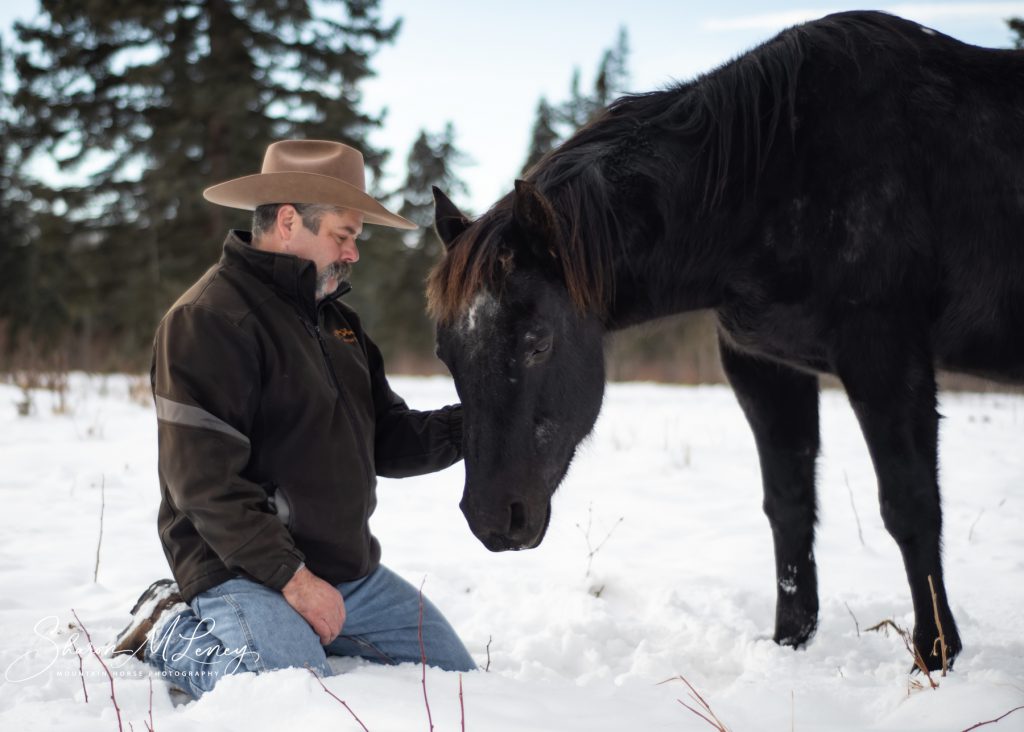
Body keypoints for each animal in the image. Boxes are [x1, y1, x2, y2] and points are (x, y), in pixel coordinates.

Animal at [425, 11, 1024, 671]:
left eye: (538, 342)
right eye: (445, 356)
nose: (490, 519)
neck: (776, 174)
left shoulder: (886, 357)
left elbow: (910, 506)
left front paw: (935, 657)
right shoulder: (766, 368)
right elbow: (788, 508)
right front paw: (789, 644)